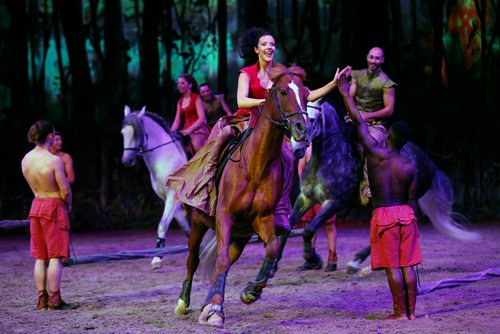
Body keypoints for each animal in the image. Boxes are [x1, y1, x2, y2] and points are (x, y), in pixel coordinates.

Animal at [121, 106, 191, 268]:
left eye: (136, 133)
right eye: (123, 133)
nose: (127, 160)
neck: (166, 158)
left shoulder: (173, 197)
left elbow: (162, 225)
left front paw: (157, 257)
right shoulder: (169, 200)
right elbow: (185, 228)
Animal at [174, 63, 310, 328]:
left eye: (306, 94)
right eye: (283, 92)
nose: (302, 129)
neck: (255, 165)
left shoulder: (263, 219)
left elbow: (272, 249)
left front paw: (250, 292)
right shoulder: (224, 217)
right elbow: (220, 261)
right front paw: (217, 310)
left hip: (241, 235)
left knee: (227, 259)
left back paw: (207, 304)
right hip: (199, 223)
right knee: (193, 258)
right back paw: (184, 302)